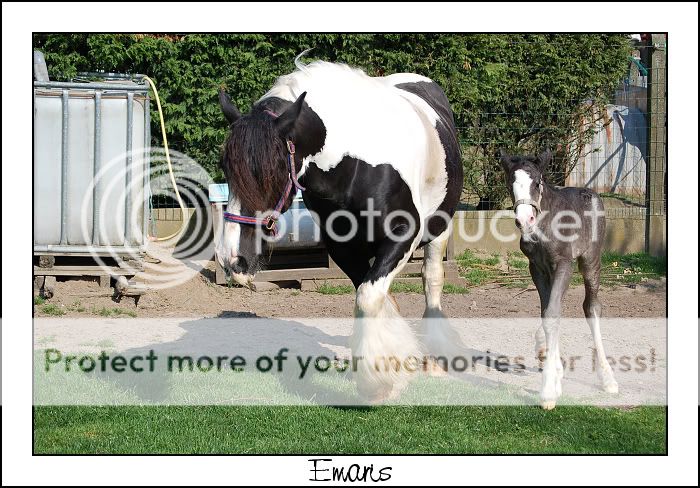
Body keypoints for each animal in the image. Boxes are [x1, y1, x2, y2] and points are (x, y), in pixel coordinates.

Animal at [216, 58, 462, 400]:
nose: (232, 260)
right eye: (225, 167)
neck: (357, 163)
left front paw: (379, 383)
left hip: (439, 229)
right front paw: (392, 366)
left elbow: (368, 297)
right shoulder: (342, 246)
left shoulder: (404, 235)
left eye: (272, 170)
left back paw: (436, 361)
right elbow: (372, 296)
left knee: (432, 280)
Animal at [498, 151, 616, 410]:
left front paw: (548, 392)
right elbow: (548, 312)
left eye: (537, 183)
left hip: (590, 260)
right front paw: (554, 375)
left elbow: (554, 312)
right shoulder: (537, 267)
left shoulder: (563, 263)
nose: (525, 220)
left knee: (592, 307)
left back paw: (608, 378)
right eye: (510, 184)